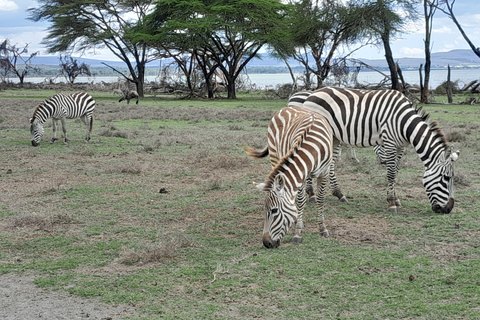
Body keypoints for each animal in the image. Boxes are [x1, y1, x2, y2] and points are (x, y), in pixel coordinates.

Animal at [244, 106, 334, 249]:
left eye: (274, 210)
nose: (266, 243)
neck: (314, 148)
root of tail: (286, 107)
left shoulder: (324, 173)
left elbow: (320, 199)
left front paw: (322, 228)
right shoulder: (302, 175)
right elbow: (301, 201)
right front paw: (298, 232)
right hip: (275, 155)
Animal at [302, 86, 460, 214]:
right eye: (446, 178)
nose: (448, 209)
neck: (404, 122)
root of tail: (312, 94)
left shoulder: (400, 146)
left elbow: (396, 171)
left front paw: (396, 198)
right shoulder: (389, 142)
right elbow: (391, 174)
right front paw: (391, 203)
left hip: (334, 136)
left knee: (331, 163)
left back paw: (339, 194)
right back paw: (311, 194)